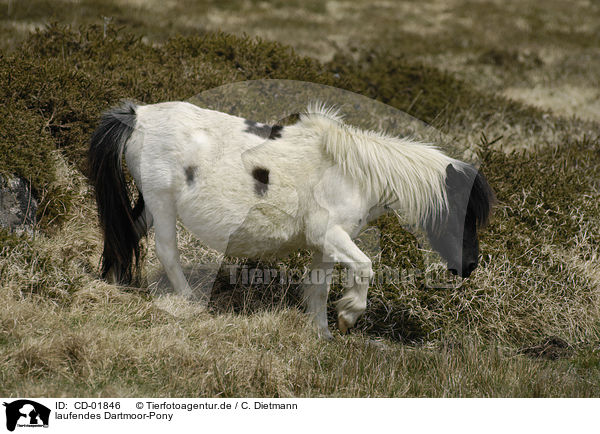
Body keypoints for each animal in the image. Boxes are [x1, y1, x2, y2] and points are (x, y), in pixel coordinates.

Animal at [88, 101, 492, 340]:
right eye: (461, 214)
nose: (469, 266)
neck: (357, 173)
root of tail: (139, 116)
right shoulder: (331, 234)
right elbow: (364, 267)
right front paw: (349, 316)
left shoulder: (326, 245)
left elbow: (319, 288)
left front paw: (323, 333)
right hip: (163, 204)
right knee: (166, 252)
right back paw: (189, 302)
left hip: (150, 206)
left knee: (124, 236)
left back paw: (112, 284)